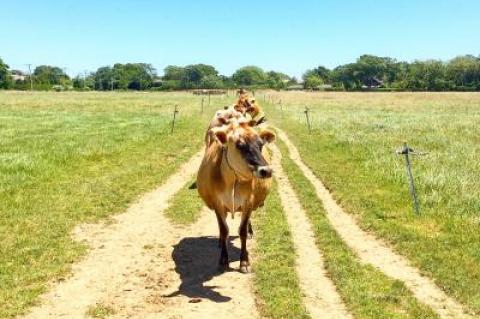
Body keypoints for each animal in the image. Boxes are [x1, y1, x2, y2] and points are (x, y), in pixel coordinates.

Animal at [197, 119, 276, 274]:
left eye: (261, 144)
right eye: (240, 145)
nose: (266, 171)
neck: (231, 180)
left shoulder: (248, 202)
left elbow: (242, 231)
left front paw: (244, 262)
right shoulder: (218, 203)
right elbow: (224, 230)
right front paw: (223, 260)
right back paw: (220, 242)